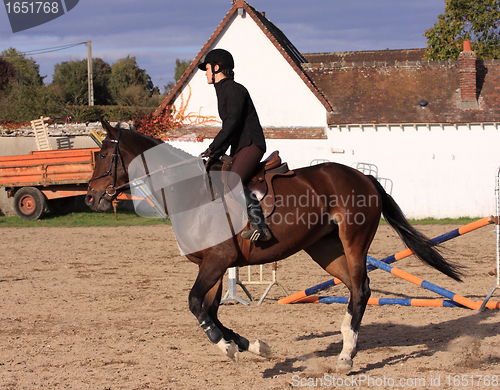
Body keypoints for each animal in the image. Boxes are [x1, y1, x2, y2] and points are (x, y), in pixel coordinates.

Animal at [85, 118, 460, 372]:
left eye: (102, 155)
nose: (90, 197)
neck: (187, 191)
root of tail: (363, 176)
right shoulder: (214, 264)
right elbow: (210, 310)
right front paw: (252, 346)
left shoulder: (217, 260)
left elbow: (195, 304)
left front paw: (227, 347)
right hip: (325, 250)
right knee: (356, 288)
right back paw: (345, 348)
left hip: (353, 241)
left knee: (362, 289)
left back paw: (346, 356)